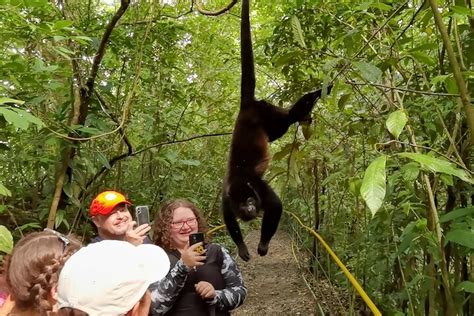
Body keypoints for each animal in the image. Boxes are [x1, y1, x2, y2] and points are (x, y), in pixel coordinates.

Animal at [223, 0, 332, 262]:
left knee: (287, 118)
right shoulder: (226, 197)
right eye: (244, 206)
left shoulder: (257, 186)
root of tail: (246, 107)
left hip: (266, 111)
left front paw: (263, 244)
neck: (241, 183)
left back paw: (311, 100)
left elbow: (275, 205)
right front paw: (242, 247)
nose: (251, 208)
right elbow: (229, 220)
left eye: (250, 199)